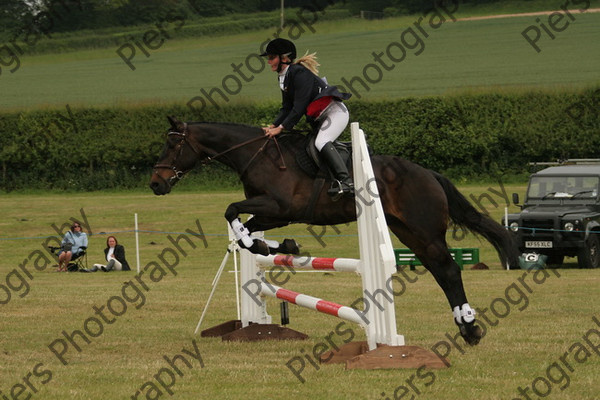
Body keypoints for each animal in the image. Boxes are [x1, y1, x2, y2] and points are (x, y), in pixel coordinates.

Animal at [151, 114, 520, 346]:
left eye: (172, 146)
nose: (156, 184)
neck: (256, 155)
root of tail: (428, 173)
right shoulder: (273, 214)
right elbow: (245, 227)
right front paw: (273, 247)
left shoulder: (280, 207)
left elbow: (231, 210)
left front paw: (268, 246)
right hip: (410, 233)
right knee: (441, 271)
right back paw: (468, 329)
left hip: (424, 230)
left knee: (449, 270)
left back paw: (468, 327)